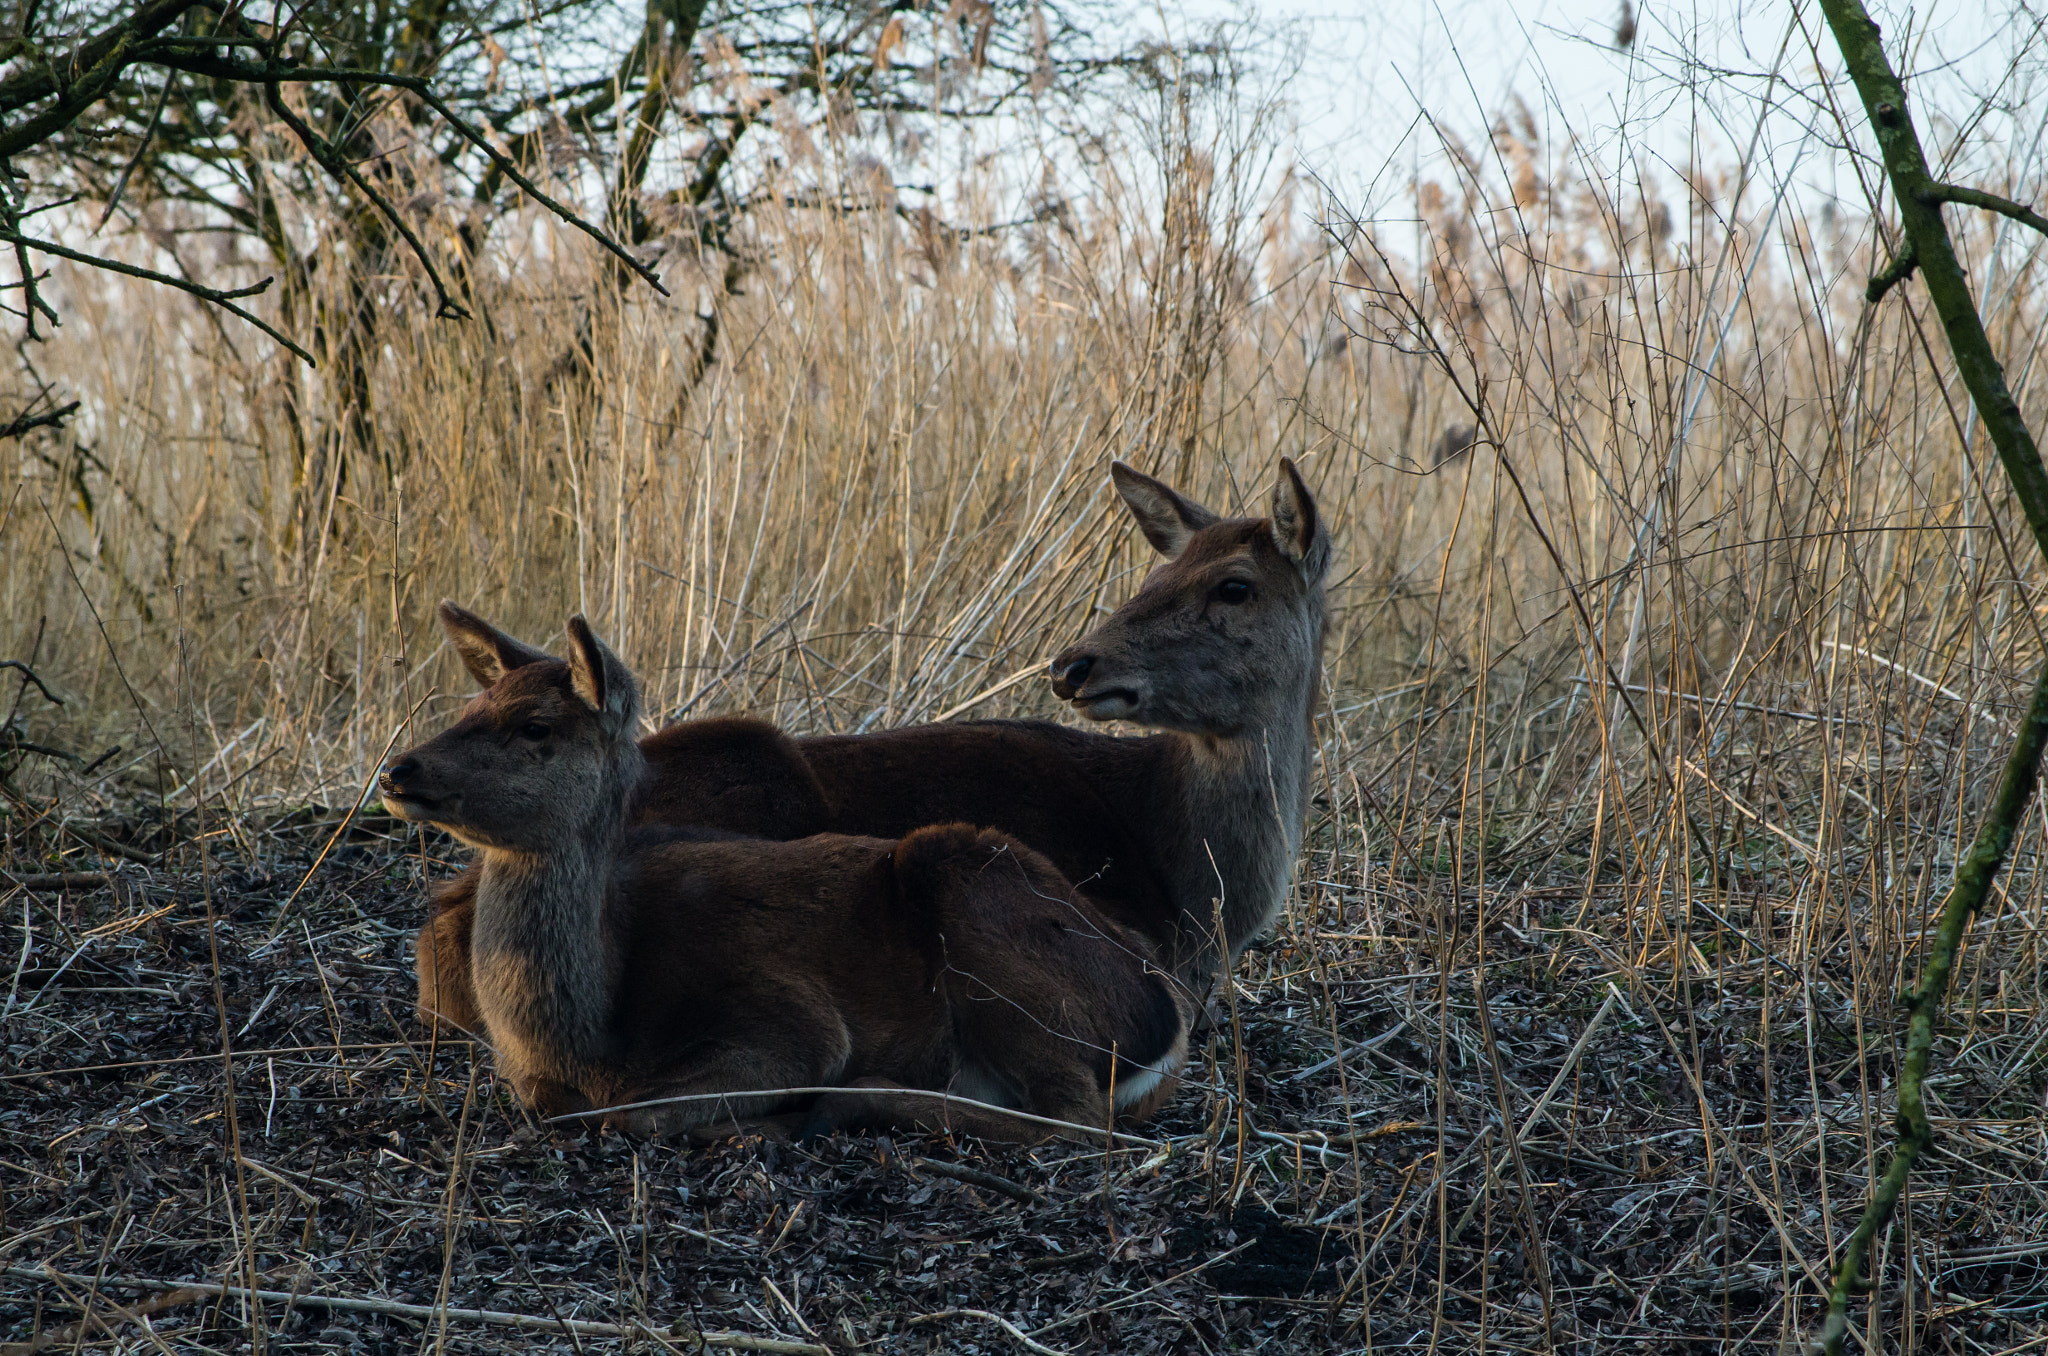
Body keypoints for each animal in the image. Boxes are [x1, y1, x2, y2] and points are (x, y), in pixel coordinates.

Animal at [382, 610, 1187, 1138]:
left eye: (535, 726)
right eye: (472, 704)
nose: (398, 768)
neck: (587, 1037)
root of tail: (1165, 1013)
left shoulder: (787, 1015)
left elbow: (634, 1115)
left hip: (973, 899)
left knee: (1076, 1120)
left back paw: (854, 1099)